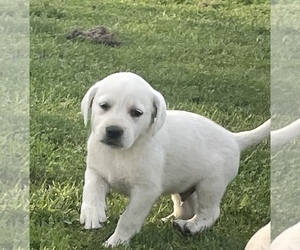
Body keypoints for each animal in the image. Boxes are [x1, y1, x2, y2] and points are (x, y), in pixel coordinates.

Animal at [79, 72, 270, 246]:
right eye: (104, 106)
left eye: (136, 113)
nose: (113, 131)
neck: (121, 153)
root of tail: (234, 139)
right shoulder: (96, 171)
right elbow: (91, 190)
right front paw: (92, 213)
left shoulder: (145, 191)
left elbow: (129, 218)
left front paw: (117, 241)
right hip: (184, 185)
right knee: (186, 209)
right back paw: (167, 221)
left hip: (211, 185)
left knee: (209, 212)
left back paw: (190, 227)